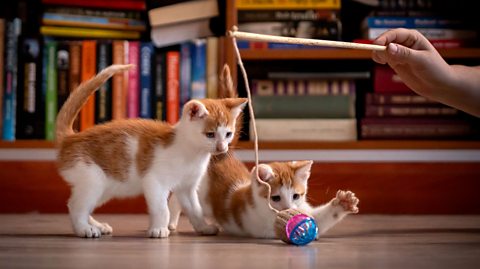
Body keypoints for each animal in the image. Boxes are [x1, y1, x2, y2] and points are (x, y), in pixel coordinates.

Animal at [55, 63, 248, 238]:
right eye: (210, 134)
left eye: (228, 134)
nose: (222, 148)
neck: (192, 153)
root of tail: (71, 138)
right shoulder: (155, 181)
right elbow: (162, 208)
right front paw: (159, 229)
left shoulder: (187, 187)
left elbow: (195, 209)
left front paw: (203, 227)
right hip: (92, 179)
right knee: (76, 206)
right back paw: (84, 229)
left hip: (107, 186)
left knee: (81, 204)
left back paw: (97, 225)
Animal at [167, 63, 358, 238]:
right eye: (275, 198)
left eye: (296, 196)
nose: (288, 208)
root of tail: (221, 152)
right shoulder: (265, 225)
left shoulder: (302, 208)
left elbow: (317, 218)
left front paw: (343, 203)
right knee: (178, 197)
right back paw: (172, 222)